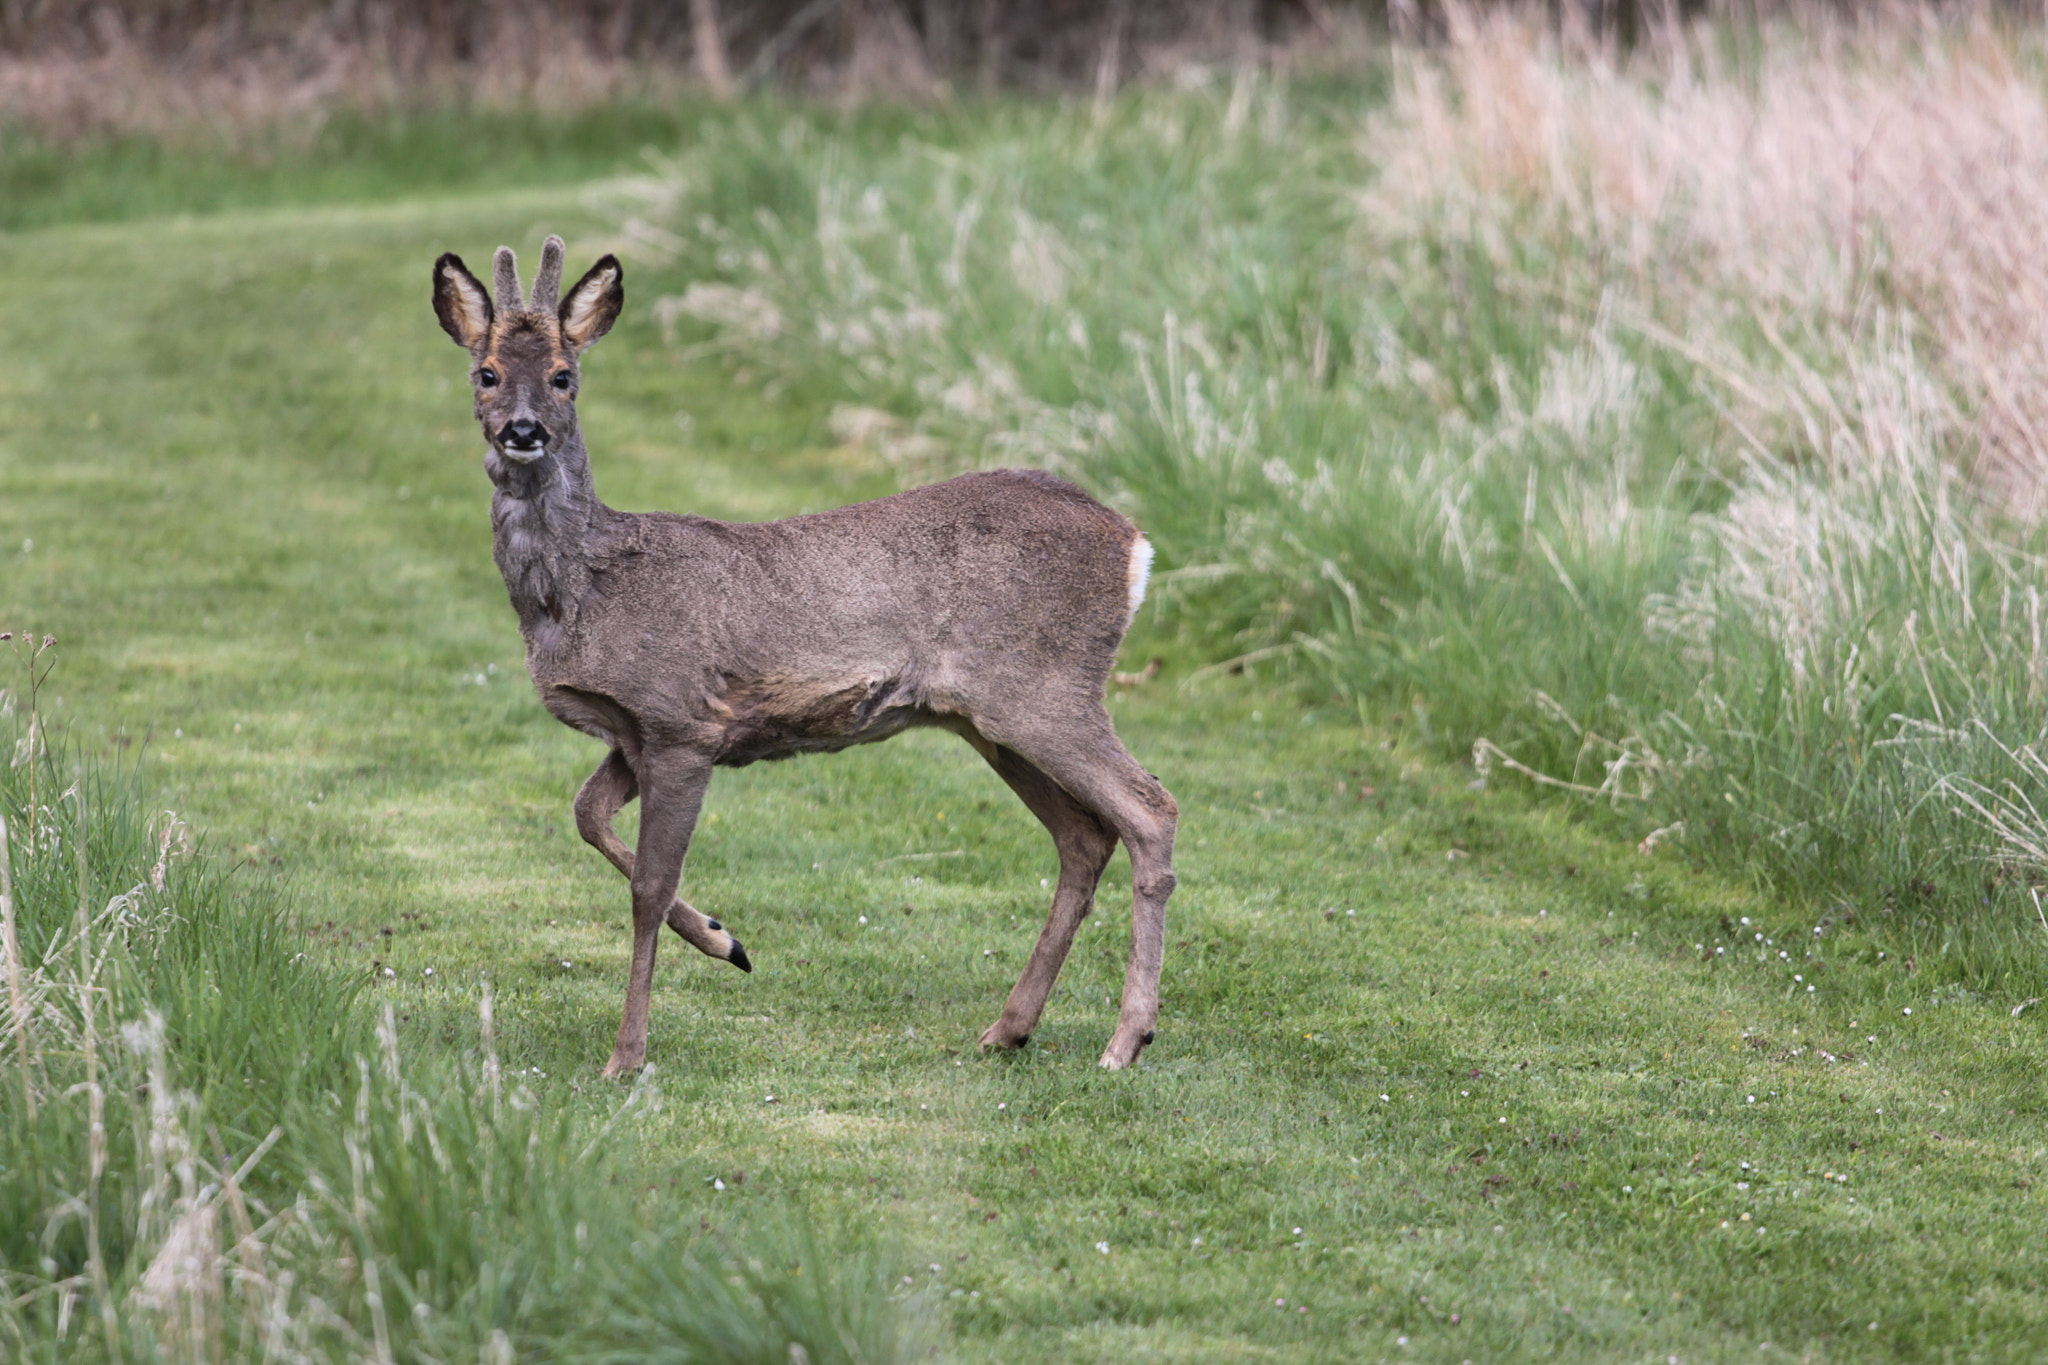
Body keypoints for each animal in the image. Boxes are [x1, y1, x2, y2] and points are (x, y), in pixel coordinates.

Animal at [436, 242, 1187, 1080]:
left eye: (565, 373)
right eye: (485, 372)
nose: (523, 429)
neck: (580, 591)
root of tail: (1134, 545)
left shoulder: (682, 720)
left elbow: (649, 887)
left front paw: (627, 1055)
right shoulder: (635, 734)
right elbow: (585, 815)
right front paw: (726, 939)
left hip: (1043, 686)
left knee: (1151, 810)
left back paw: (1126, 1039)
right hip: (987, 718)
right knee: (1084, 837)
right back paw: (1009, 1027)